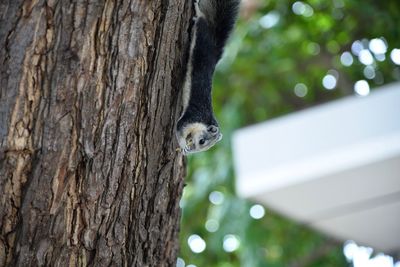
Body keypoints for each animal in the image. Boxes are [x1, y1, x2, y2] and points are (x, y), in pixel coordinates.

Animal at [176, 0, 239, 155]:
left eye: (204, 147)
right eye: (202, 141)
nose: (193, 148)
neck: (204, 121)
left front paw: (186, 150)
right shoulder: (190, 119)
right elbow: (179, 130)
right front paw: (183, 145)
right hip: (201, 30)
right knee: (201, 18)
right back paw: (197, 10)